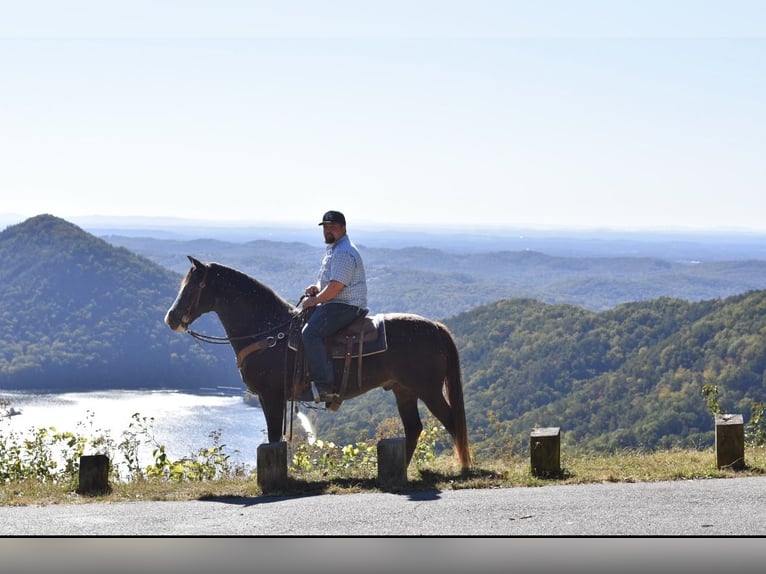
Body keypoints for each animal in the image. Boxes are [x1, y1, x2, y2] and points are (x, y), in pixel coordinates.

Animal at [164, 256, 471, 470]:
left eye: (192, 287)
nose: (171, 318)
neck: (270, 332)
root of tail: (436, 327)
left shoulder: (271, 395)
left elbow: (273, 437)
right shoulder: (269, 397)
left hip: (428, 390)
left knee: (452, 422)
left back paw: (463, 467)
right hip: (403, 390)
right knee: (414, 429)